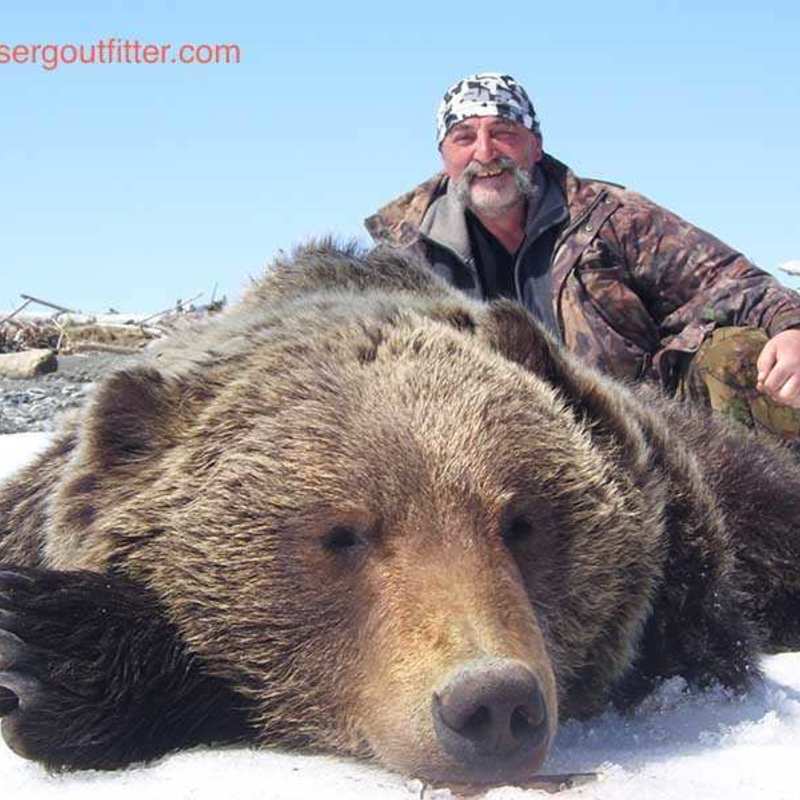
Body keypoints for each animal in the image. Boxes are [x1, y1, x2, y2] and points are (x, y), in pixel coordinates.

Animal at [1, 242, 800, 785]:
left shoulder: (687, 561)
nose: (493, 703)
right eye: (342, 534)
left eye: (523, 520)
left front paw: (49, 646)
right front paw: (39, 639)